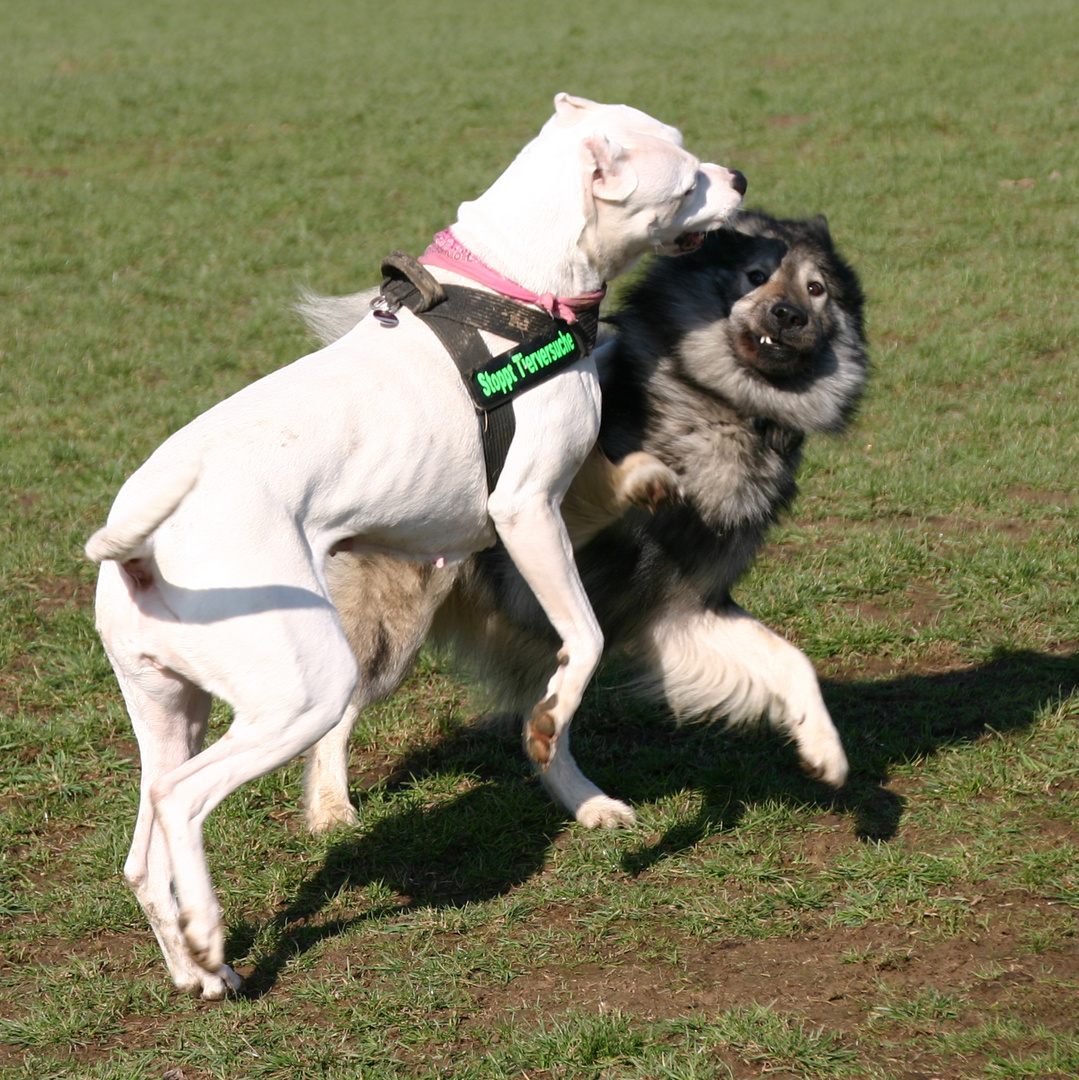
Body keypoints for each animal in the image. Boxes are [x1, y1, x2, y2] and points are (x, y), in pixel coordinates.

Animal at [84, 92, 747, 993]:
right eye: (683, 184)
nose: (738, 176)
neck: (514, 286)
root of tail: (152, 521)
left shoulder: (557, 505)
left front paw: (583, 799)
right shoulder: (526, 515)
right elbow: (582, 645)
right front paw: (554, 733)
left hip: (168, 707)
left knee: (142, 849)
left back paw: (198, 969)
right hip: (303, 692)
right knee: (183, 799)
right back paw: (212, 933)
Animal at [302, 212, 868, 833]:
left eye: (816, 289)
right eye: (756, 275)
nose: (788, 315)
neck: (717, 407)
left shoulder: (682, 608)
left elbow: (789, 659)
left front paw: (826, 750)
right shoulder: (539, 513)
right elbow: (597, 488)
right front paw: (636, 480)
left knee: (546, 729)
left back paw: (589, 802)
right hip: (398, 622)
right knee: (344, 708)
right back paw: (330, 808)